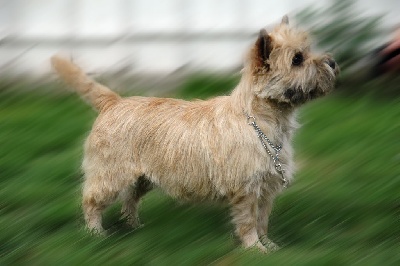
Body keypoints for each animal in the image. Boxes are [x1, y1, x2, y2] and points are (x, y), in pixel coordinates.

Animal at [50, 15, 338, 252]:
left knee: (130, 199)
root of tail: (113, 102)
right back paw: (95, 233)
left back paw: (134, 226)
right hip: (111, 174)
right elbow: (248, 222)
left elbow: (262, 220)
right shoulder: (246, 189)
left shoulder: (266, 187)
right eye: (297, 59)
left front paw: (269, 244)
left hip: (143, 177)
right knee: (91, 200)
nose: (333, 62)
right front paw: (255, 248)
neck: (261, 119)